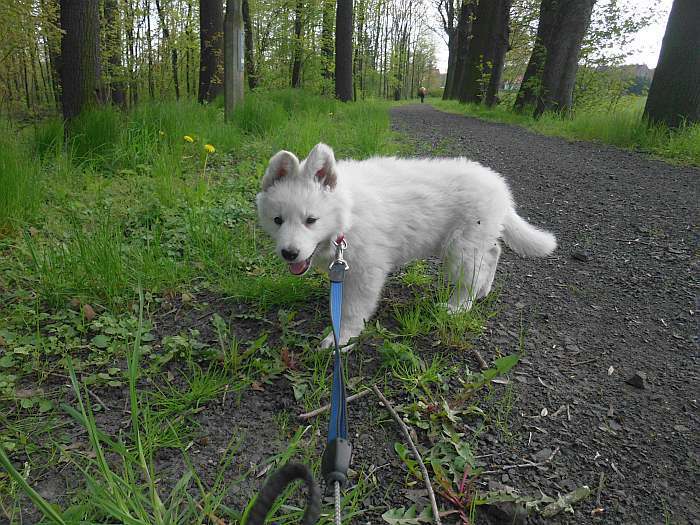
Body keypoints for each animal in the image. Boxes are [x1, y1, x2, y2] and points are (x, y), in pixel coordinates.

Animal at [254, 143, 556, 348]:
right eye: (278, 220)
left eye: (311, 220)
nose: (289, 253)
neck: (348, 213)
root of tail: (499, 185)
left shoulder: (368, 269)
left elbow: (354, 308)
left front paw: (342, 336)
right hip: (476, 238)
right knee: (493, 252)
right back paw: (484, 290)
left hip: (462, 245)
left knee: (472, 274)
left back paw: (458, 306)